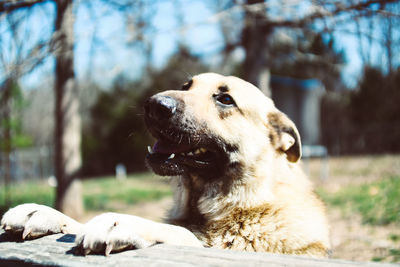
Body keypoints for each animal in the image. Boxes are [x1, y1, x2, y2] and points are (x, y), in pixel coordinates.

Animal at [0, 73, 328, 258]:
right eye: (186, 86)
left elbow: (179, 233)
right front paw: (43, 213)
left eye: (225, 99)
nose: (154, 105)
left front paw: (124, 222)